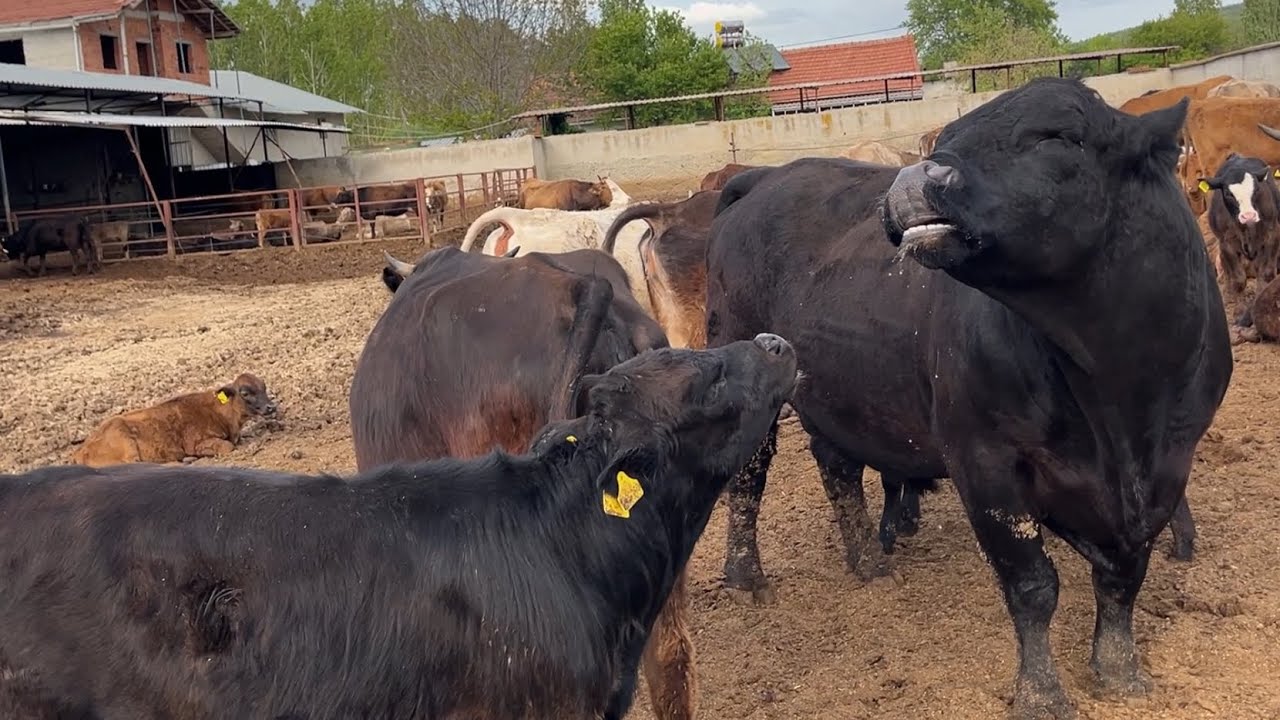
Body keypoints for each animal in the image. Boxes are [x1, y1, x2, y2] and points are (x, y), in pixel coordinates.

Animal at [71, 373, 277, 467]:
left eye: (264, 387)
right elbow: (228, 446)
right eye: (245, 393)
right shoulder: (198, 444)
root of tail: (80, 450)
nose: (271, 407)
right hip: (126, 442)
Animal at [704, 77, 1231, 719]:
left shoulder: (1167, 468)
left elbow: (1125, 576)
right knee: (749, 476)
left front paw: (1119, 669)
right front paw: (1041, 692)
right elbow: (1033, 585)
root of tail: (765, 179)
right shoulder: (985, 463)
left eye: (1060, 135)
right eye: (949, 138)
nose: (916, 177)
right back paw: (746, 575)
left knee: (838, 468)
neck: (1117, 397)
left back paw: (868, 561)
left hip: (838, 392)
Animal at [1199, 153, 1280, 340]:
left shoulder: (1272, 236)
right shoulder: (1226, 244)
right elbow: (1238, 280)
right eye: (1229, 193)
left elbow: (1265, 274)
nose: (1248, 215)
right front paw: (1239, 313)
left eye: (1256, 190)